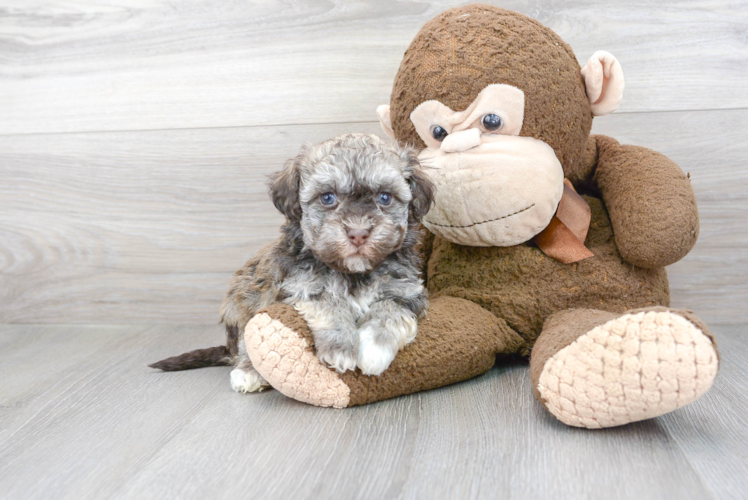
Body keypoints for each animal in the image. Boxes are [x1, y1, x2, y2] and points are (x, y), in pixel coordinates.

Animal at [149, 134, 436, 394]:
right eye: (327, 197)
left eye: (385, 198)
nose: (358, 233)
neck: (353, 273)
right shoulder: (304, 287)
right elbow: (331, 306)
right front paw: (341, 349)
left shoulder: (406, 292)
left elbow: (389, 310)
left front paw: (374, 349)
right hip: (244, 310)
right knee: (245, 344)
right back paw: (248, 372)